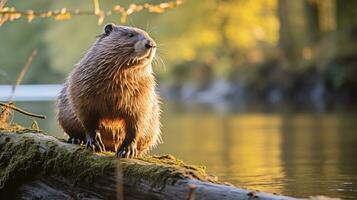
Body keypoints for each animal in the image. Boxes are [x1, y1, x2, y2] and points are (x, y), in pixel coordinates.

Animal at [56, 23, 161, 158]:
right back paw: (75, 139)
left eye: (148, 35)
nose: (151, 44)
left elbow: (137, 123)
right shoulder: (80, 86)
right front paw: (95, 144)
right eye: (130, 34)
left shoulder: (144, 94)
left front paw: (127, 151)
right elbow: (87, 118)